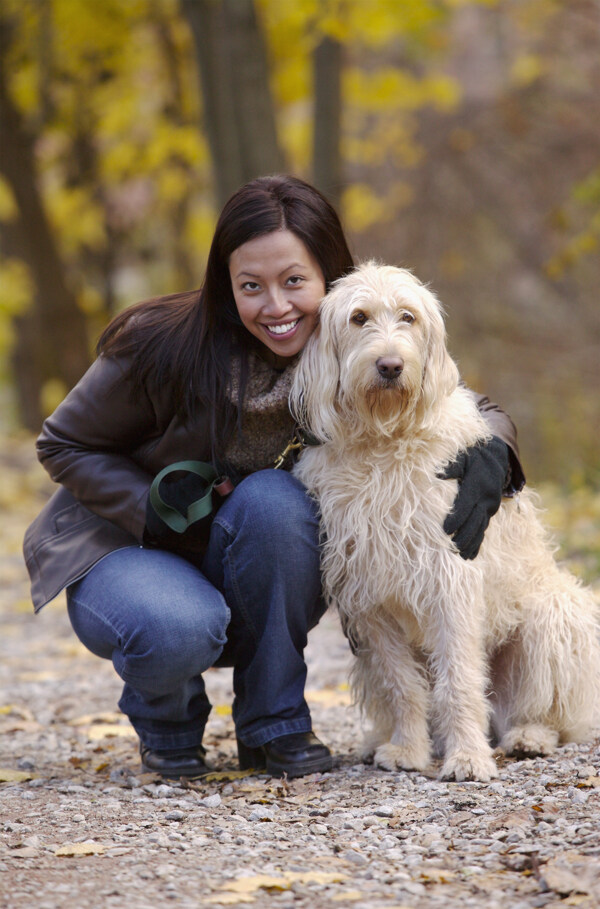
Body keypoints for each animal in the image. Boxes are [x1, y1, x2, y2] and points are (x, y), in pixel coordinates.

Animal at [290, 260, 600, 780]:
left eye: (408, 317)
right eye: (359, 318)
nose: (390, 366)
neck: (386, 443)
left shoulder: (449, 581)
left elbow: (458, 680)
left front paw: (468, 758)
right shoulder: (369, 597)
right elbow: (404, 686)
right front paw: (408, 750)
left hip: (553, 618)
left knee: (545, 711)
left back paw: (527, 736)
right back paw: (382, 740)